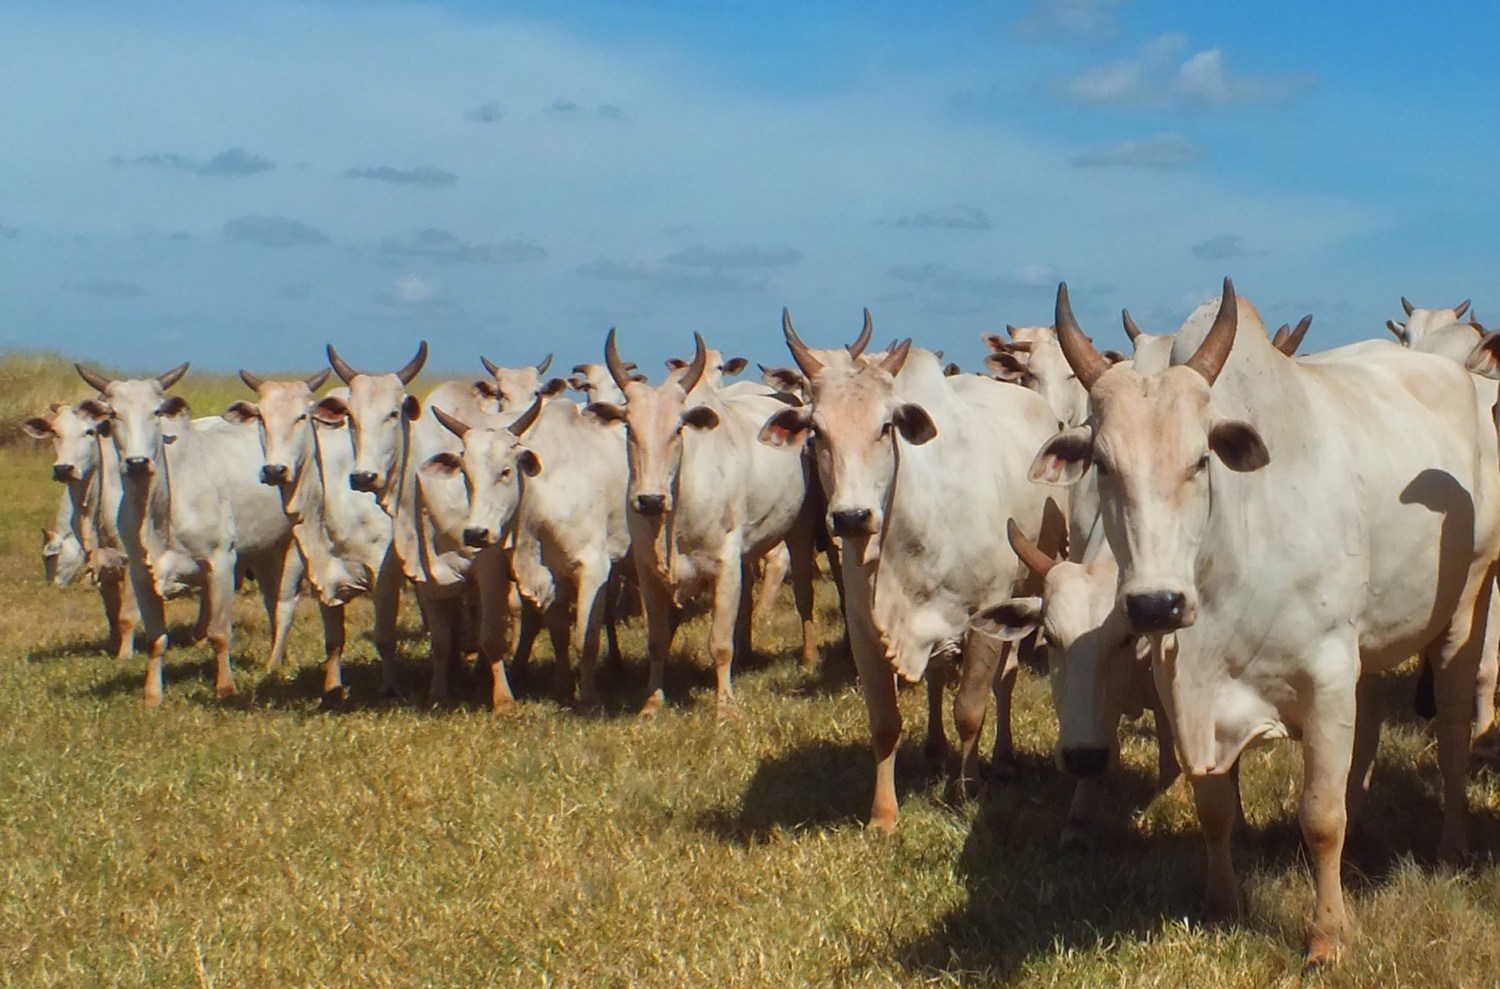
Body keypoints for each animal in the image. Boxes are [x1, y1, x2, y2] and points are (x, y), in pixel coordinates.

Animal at [73, 361, 304, 705]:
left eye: (156, 411)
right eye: (113, 413)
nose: (138, 462)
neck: (159, 511)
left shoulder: (221, 563)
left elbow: (219, 633)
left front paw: (225, 688)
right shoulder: (141, 572)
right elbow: (156, 638)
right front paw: (152, 694)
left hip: (291, 545)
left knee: (284, 604)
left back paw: (273, 664)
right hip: (264, 550)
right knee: (271, 601)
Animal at [585, 328, 822, 714]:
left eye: (678, 429)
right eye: (629, 428)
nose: (650, 500)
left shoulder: (723, 565)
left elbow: (719, 643)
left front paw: (725, 706)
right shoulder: (648, 572)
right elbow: (657, 641)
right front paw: (652, 703)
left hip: (800, 529)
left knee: (803, 592)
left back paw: (809, 656)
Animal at [762, 312, 1068, 834]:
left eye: (886, 427)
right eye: (816, 431)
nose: (851, 518)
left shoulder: (986, 617)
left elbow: (970, 709)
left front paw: (967, 788)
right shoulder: (867, 628)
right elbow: (886, 725)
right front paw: (883, 815)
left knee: (1003, 681)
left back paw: (1003, 759)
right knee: (938, 675)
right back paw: (934, 748)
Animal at [1032, 279, 1500, 966]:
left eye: (1201, 461)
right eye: (1103, 463)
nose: (1155, 605)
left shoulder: (1326, 676)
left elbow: (1321, 817)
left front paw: (1328, 936)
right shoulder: (1188, 693)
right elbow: (1215, 809)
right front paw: (1223, 903)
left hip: (1467, 605)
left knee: (1448, 734)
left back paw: (1450, 844)